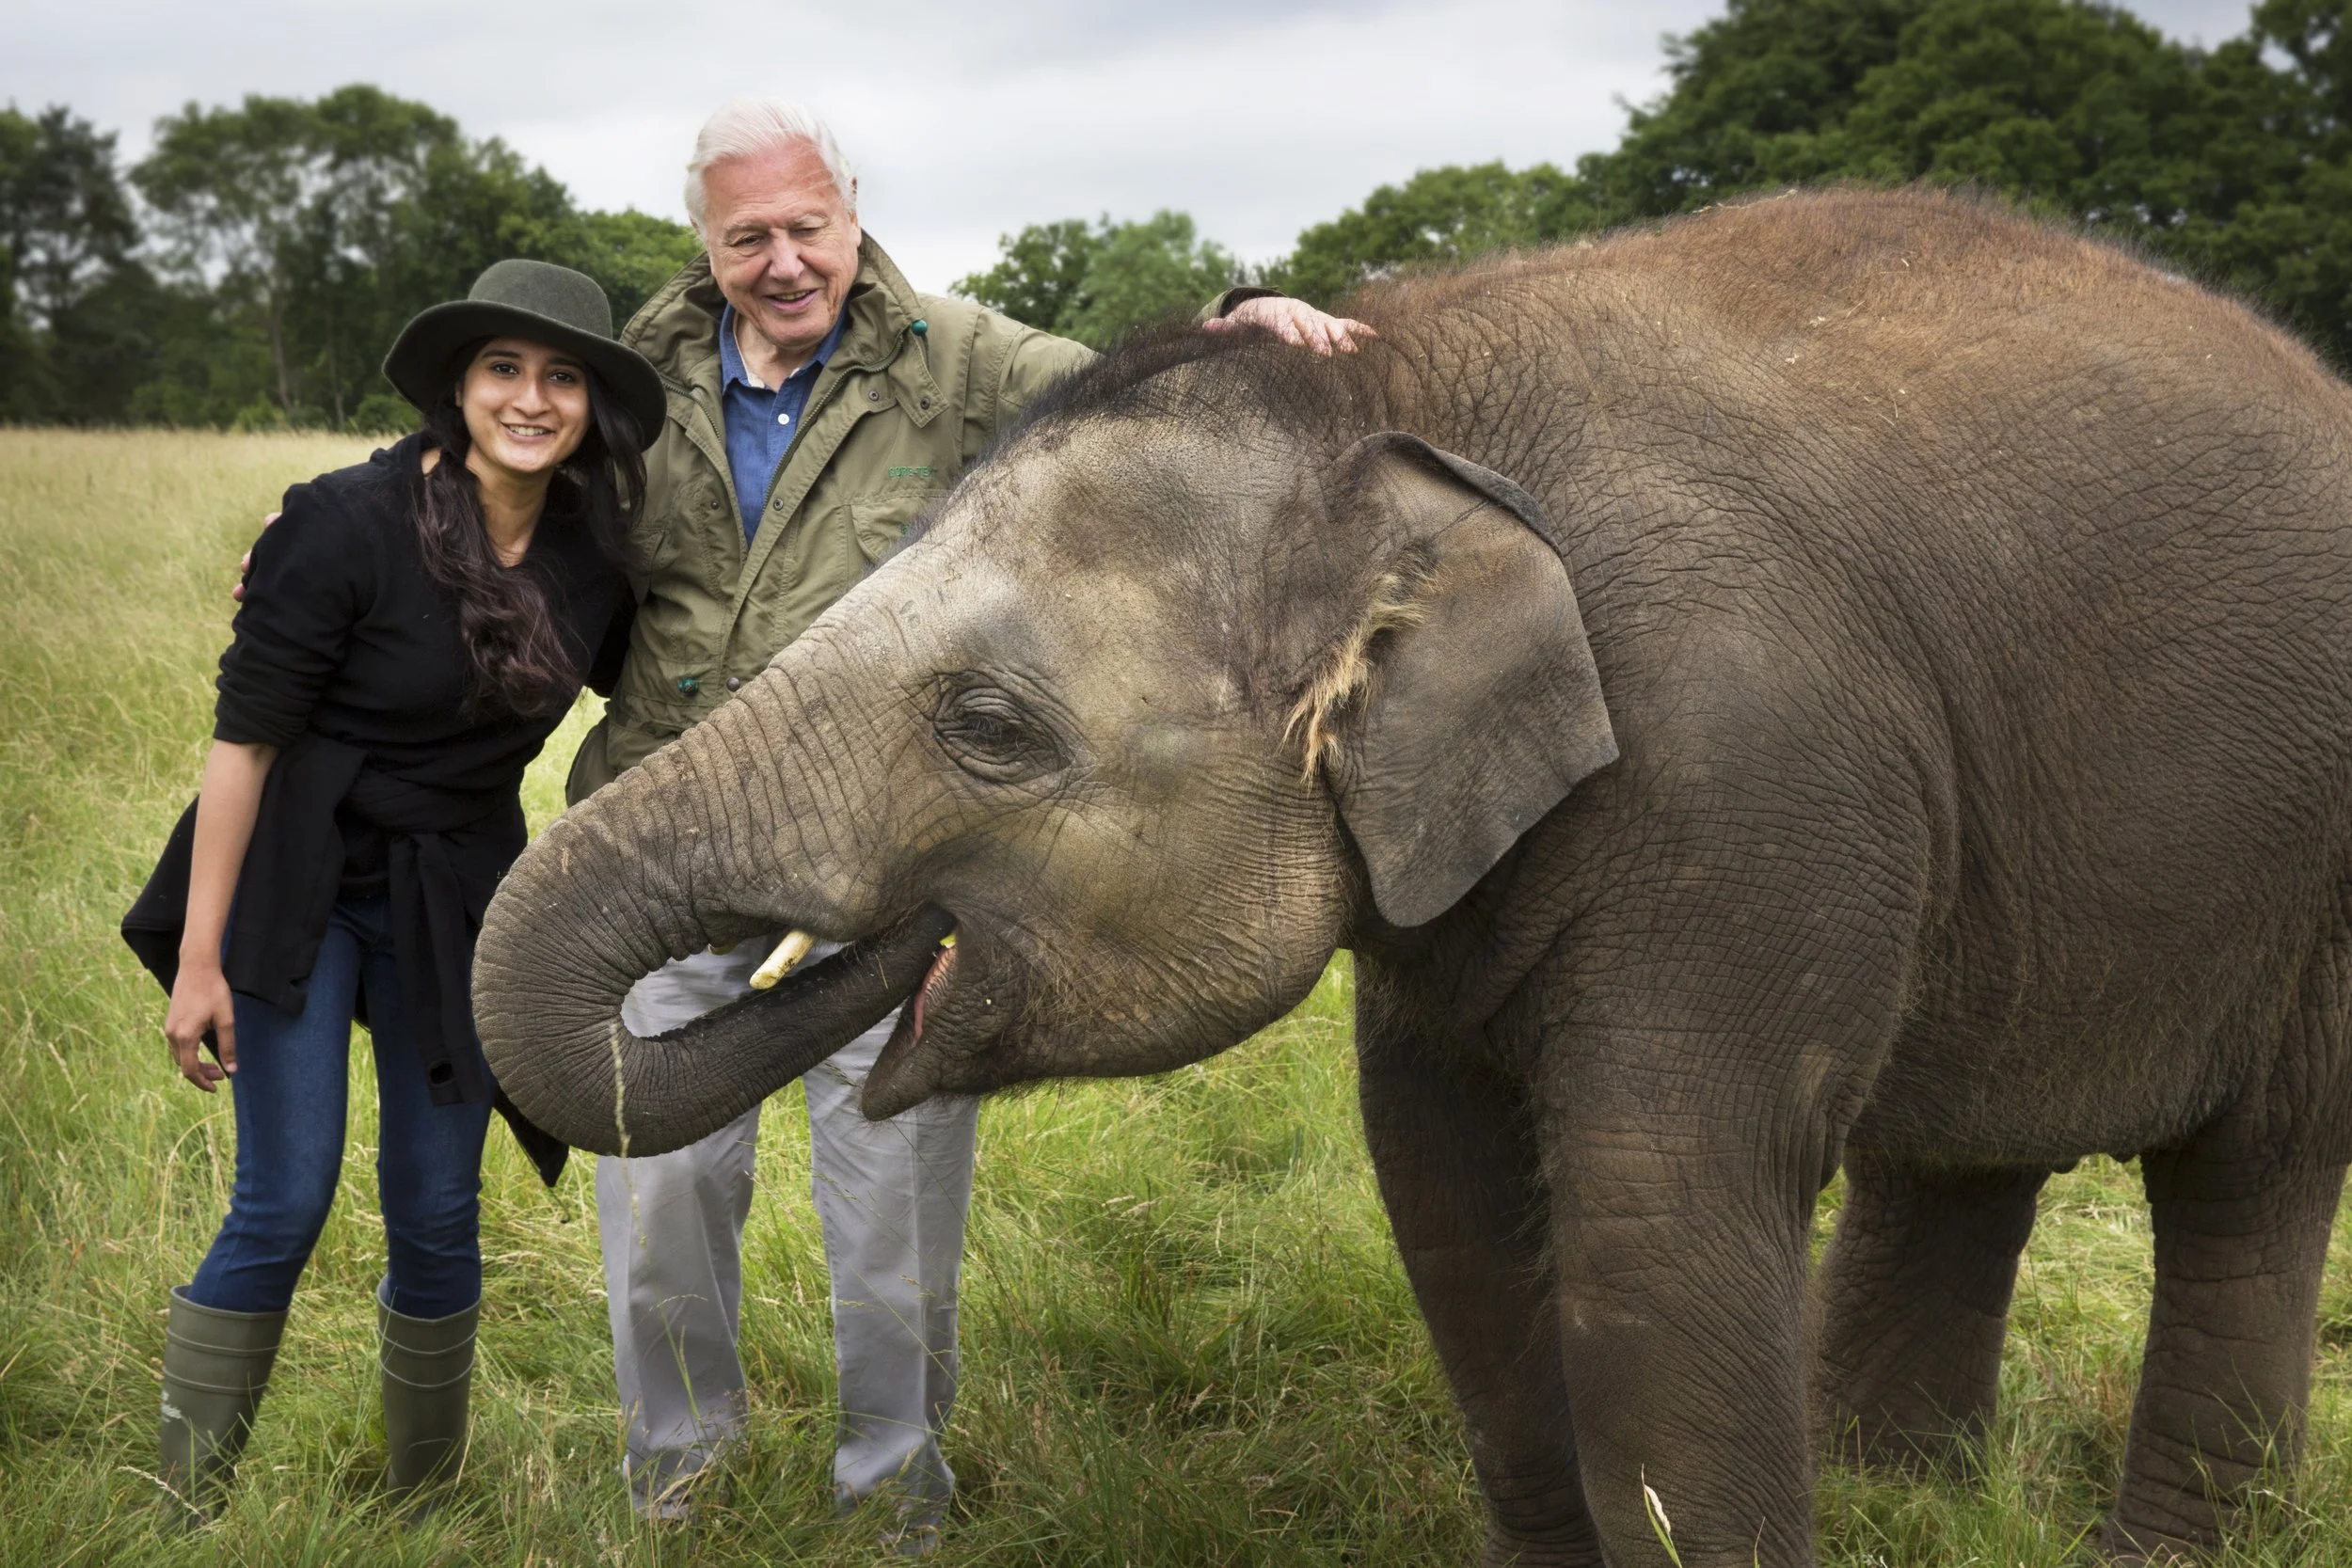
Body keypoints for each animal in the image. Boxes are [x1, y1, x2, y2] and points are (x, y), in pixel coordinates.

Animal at [473, 188, 2352, 1566]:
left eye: (991, 728)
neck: (1407, 415)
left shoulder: (1748, 766)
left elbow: (1656, 1217)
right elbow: (1444, 1187)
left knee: (2253, 1181)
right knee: (1961, 1160)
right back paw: (1905, 1497)